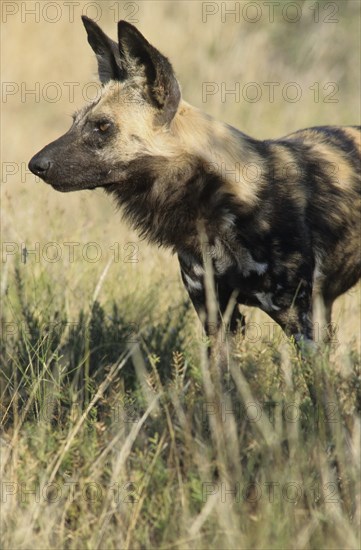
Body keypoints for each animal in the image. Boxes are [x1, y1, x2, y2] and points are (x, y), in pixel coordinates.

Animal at [29, 19, 358, 352]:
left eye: (103, 126)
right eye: (74, 121)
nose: (35, 165)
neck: (222, 207)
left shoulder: (303, 326)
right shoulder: (217, 320)